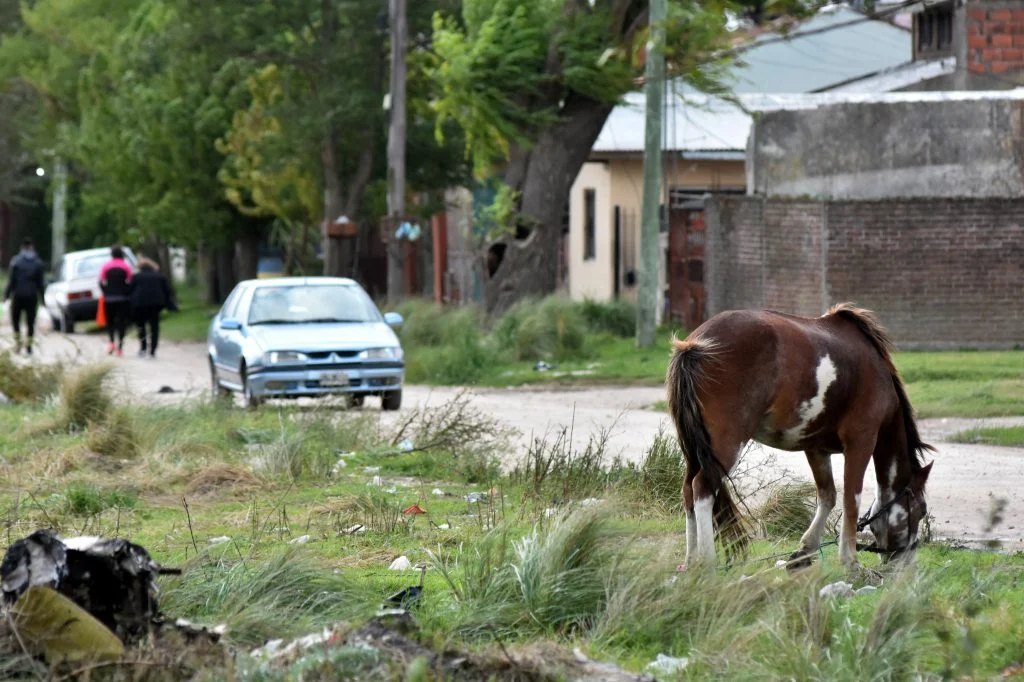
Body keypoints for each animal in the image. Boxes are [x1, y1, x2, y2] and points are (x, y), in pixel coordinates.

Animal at [667, 303, 933, 569]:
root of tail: (694, 345)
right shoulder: (861, 442)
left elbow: (828, 496)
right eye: (921, 510)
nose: (907, 563)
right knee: (702, 488)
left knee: (688, 491)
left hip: (694, 450)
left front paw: (805, 550)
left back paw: (691, 562)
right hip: (727, 443)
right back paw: (707, 563)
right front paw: (850, 561)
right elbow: (851, 500)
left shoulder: (816, 449)